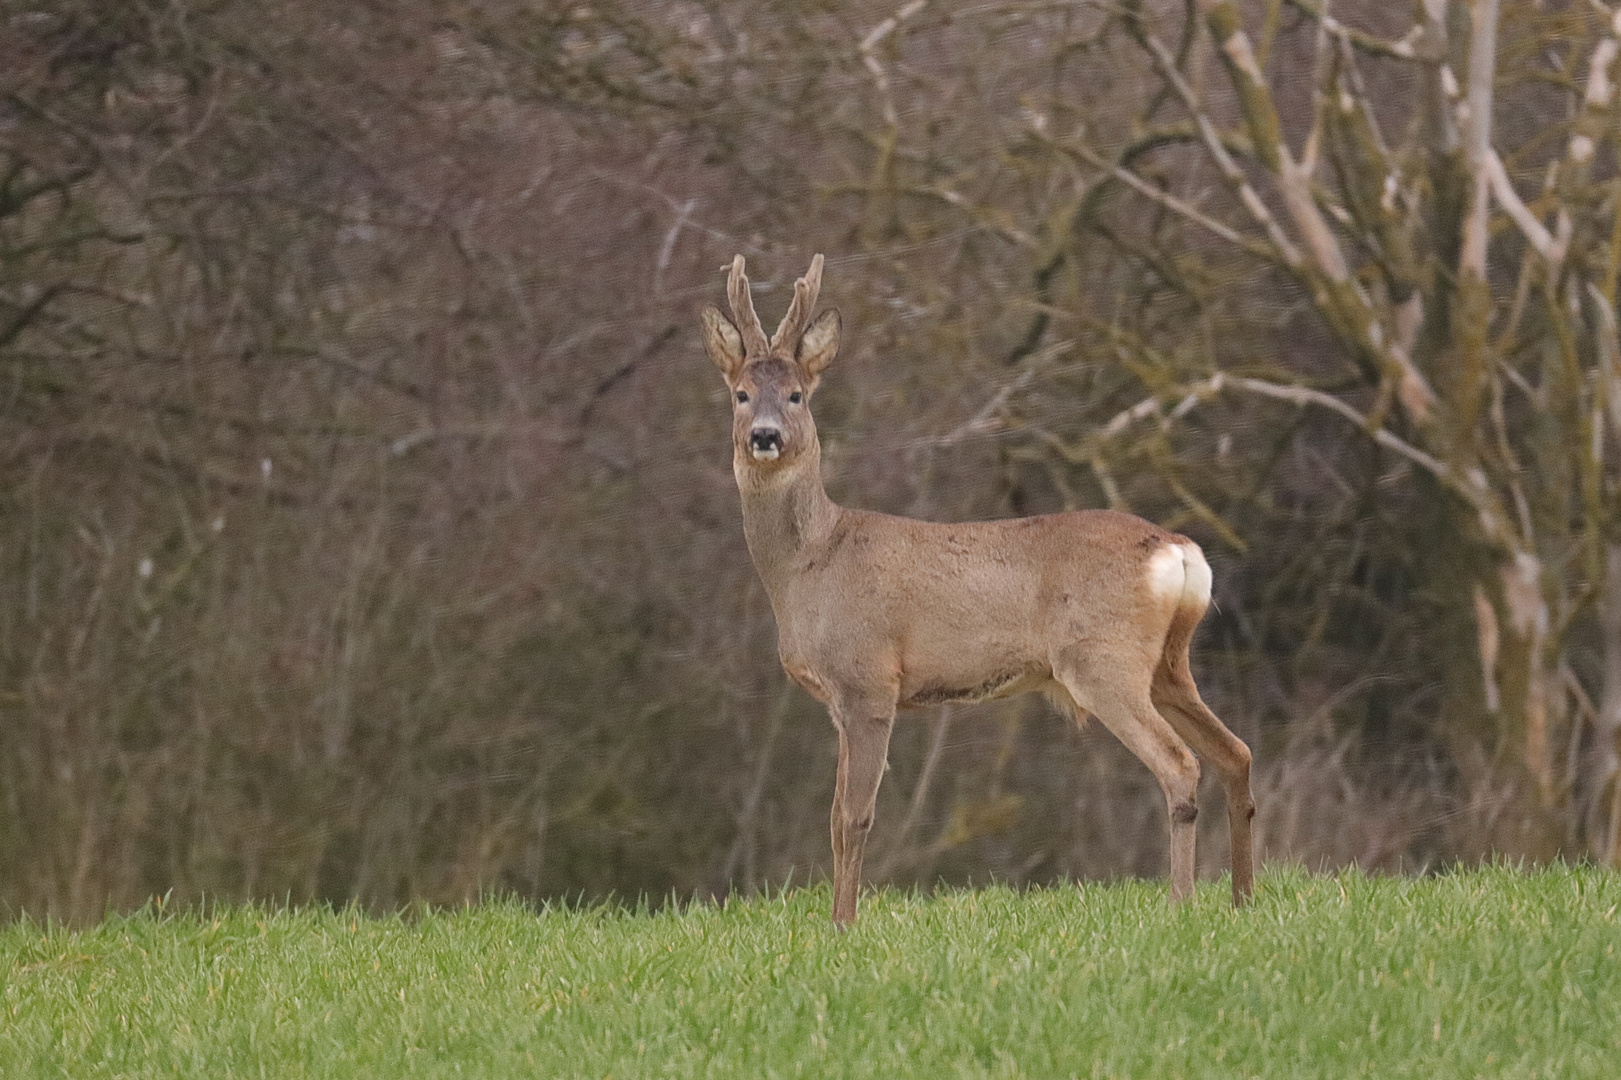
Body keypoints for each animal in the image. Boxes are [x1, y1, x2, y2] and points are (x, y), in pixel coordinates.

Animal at [697, 254, 1251, 927]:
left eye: (798, 394)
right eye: (741, 393)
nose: (766, 435)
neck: (810, 567)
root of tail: (1179, 550)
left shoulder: (868, 679)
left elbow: (853, 817)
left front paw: (843, 925)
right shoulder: (837, 701)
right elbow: (832, 818)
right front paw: (836, 919)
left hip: (1103, 658)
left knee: (1180, 764)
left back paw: (1181, 903)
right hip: (1168, 664)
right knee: (1236, 753)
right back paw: (1244, 897)